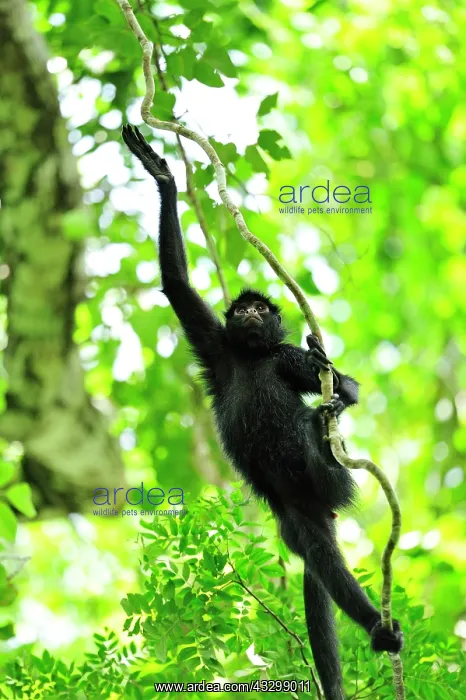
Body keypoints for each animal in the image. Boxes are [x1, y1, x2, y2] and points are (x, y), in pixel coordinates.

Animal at [122, 125, 403, 700]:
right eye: (244, 311)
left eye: (259, 310)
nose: (251, 312)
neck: (254, 357)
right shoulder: (219, 351)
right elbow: (177, 285)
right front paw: (161, 175)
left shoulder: (286, 357)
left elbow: (345, 383)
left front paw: (335, 399)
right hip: (293, 514)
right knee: (317, 555)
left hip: (334, 485)